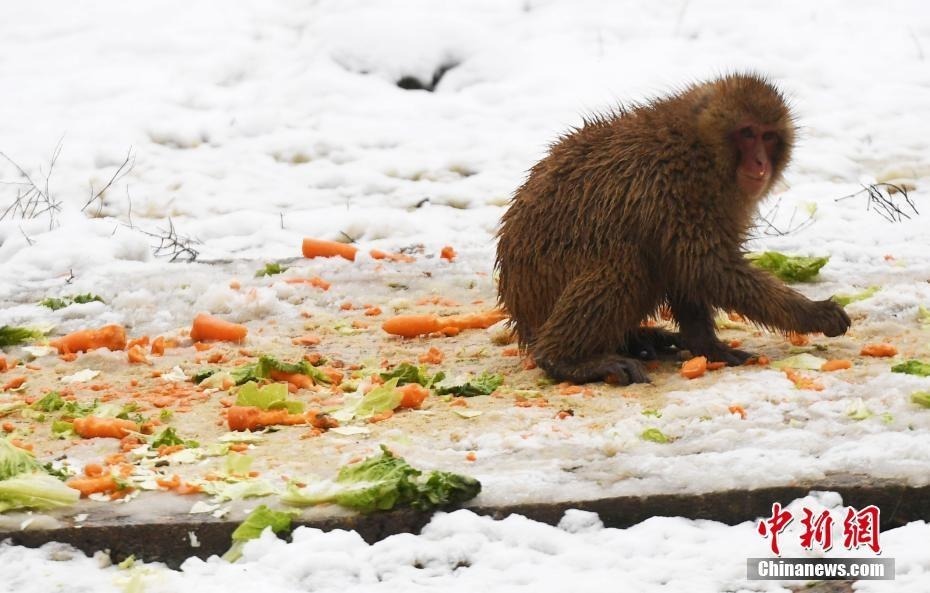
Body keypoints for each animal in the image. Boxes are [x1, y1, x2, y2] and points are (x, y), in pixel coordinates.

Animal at [496, 73, 852, 384]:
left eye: (768, 136)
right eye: (748, 133)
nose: (760, 163)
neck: (701, 147)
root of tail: (520, 312)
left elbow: (688, 272)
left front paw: (707, 346)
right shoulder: (674, 185)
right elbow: (707, 268)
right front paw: (814, 313)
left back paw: (636, 340)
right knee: (625, 264)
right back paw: (565, 360)